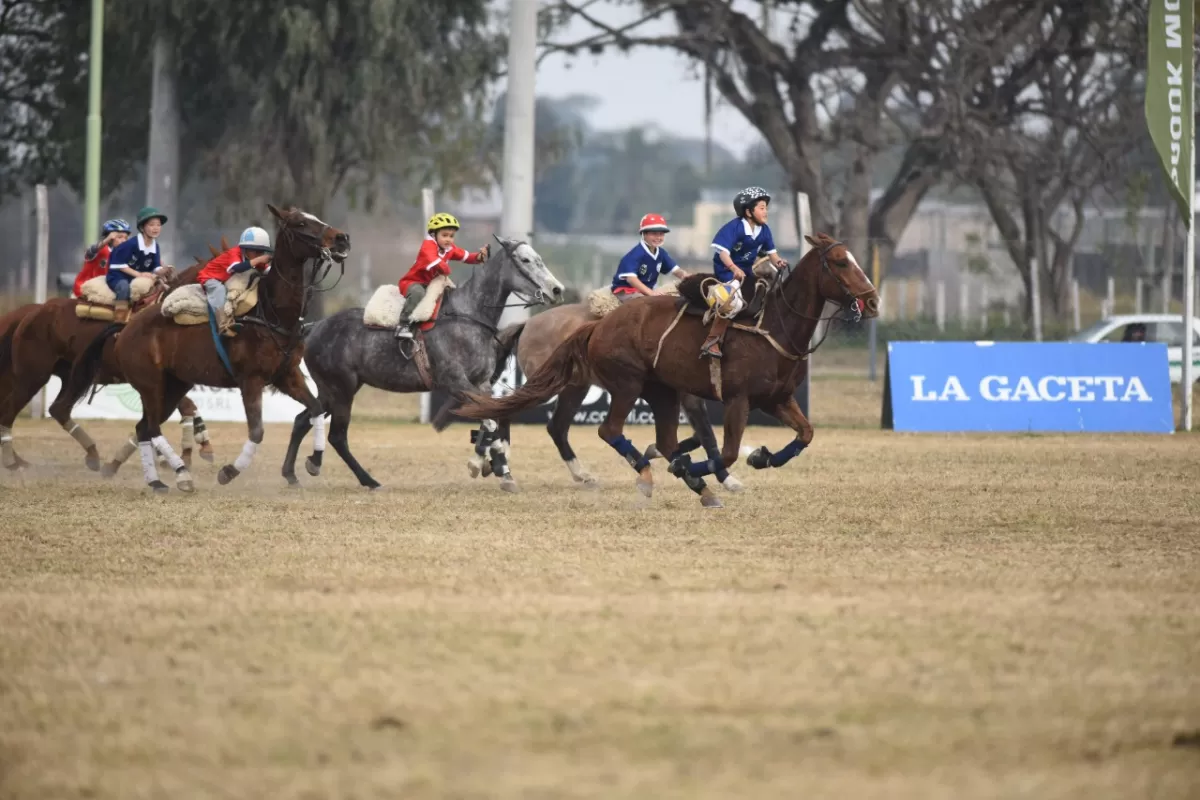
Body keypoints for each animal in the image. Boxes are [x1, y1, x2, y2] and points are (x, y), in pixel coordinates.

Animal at [0, 275, 213, 474]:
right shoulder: (158, 383)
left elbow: (185, 409)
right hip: (32, 377)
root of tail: (31, 313)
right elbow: (182, 408)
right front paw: (185, 452)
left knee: (57, 409)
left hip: (69, 377)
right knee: (10, 412)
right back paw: (13, 462)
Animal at [58, 205, 350, 494]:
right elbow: (257, 431)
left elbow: (315, 409)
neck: (271, 313)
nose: (342, 238)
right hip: (150, 384)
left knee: (143, 428)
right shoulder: (251, 380)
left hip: (174, 385)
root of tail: (125, 328)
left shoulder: (287, 375)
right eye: (300, 223)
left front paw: (314, 461)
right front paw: (229, 471)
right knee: (151, 428)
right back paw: (181, 474)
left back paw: (157, 481)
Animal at [282, 235, 566, 491]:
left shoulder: (483, 384)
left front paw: (497, 468)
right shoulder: (456, 383)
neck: (468, 317)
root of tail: (314, 327)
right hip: (341, 390)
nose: (557, 290)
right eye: (525, 260)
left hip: (332, 390)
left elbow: (492, 417)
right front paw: (489, 465)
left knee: (303, 419)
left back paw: (294, 472)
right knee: (337, 436)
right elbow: (491, 421)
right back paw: (366, 479)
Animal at [453, 232, 878, 506]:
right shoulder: (734, 399)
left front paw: (757, 458)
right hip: (619, 383)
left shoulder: (775, 399)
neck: (772, 328)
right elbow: (720, 448)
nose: (872, 301)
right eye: (841, 261)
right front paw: (722, 474)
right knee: (596, 428)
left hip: (643, 390)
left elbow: (804, 434)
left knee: (558, 426)